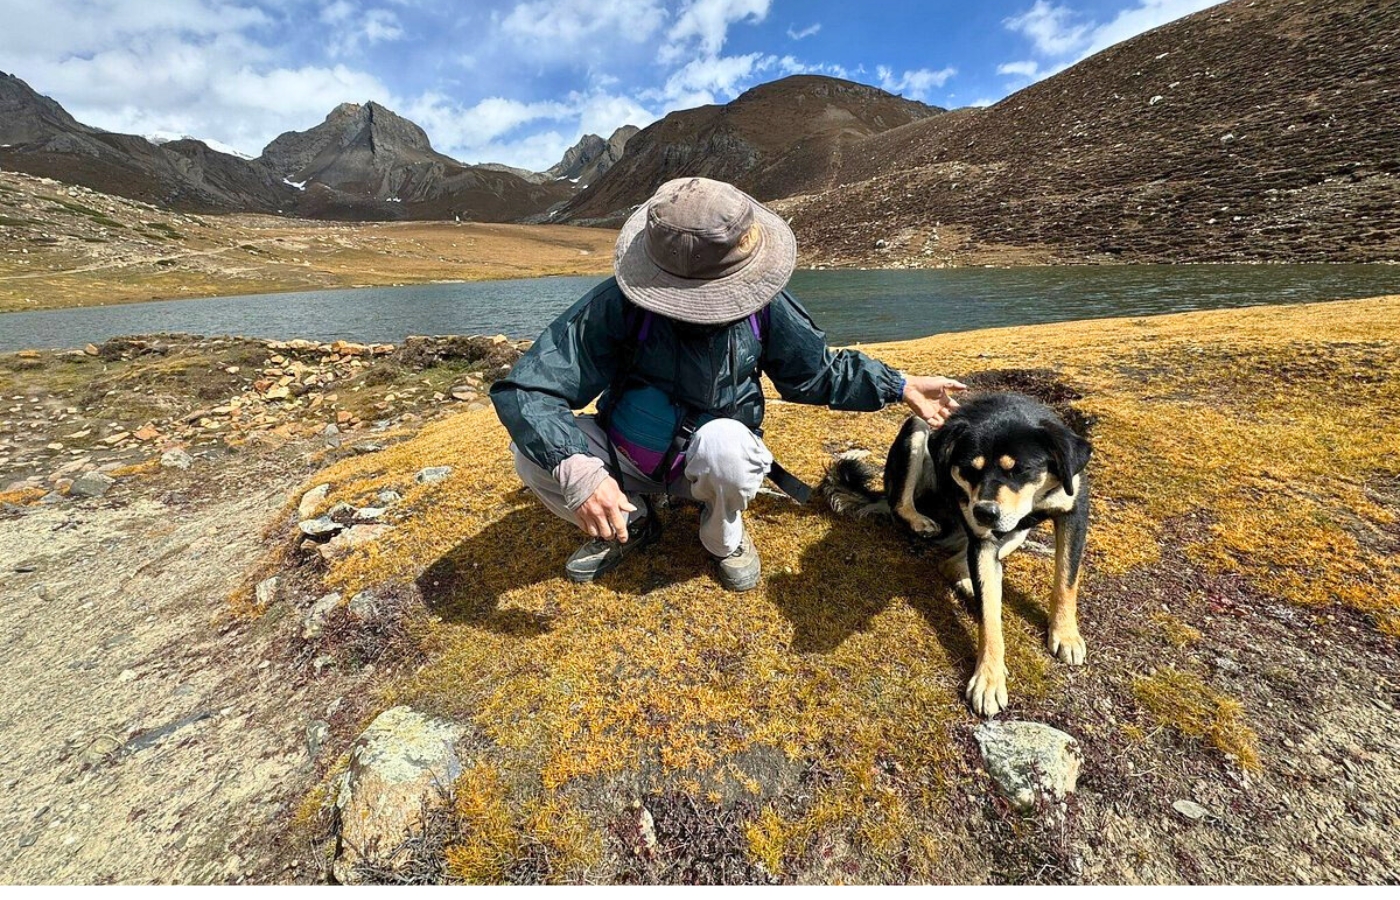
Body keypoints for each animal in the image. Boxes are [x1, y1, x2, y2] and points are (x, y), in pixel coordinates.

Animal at [817, 394, 1092, 716]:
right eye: (968, 470)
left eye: (1019, 470)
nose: (984, 512)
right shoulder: (985, 539)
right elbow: (990, 620)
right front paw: (988, 680)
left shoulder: (1074, 511)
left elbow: (1066, 581)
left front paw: (1065, 634)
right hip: (917, 428)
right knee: (901, 506)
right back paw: (921, 522)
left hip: (1015, 532)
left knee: (954, 565)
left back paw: (970, 585)